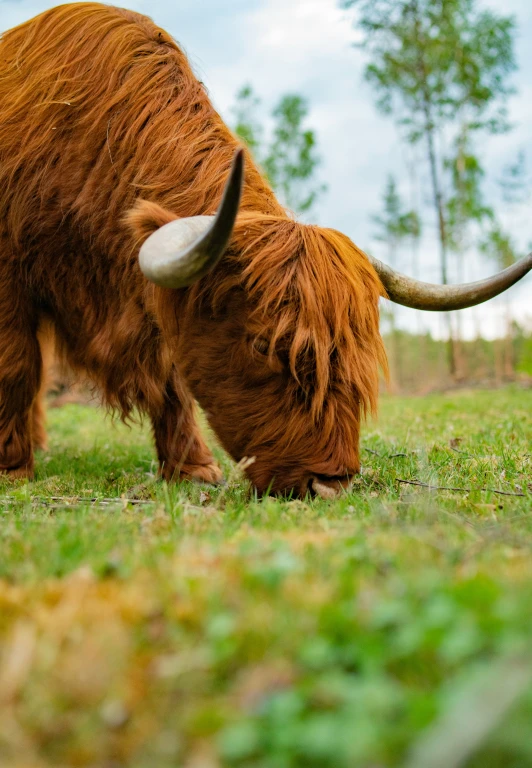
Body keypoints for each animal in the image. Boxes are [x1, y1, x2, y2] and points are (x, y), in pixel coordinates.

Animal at [1, 3, 532, 496]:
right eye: (263, 345)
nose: (331, 483)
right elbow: (17, 364)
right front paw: (13, 469)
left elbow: (170, 374)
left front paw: (192, 470)